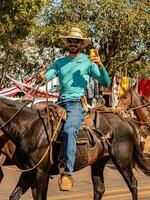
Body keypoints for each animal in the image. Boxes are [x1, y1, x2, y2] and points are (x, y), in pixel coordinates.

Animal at [0, 99, 150, 200]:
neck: (29, 127)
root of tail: (124, 119)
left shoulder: (41, 172)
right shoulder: (29, 172)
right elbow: (14, 196)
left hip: (122, 161)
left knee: (133, 184)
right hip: (98, 162)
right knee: (99, 189)